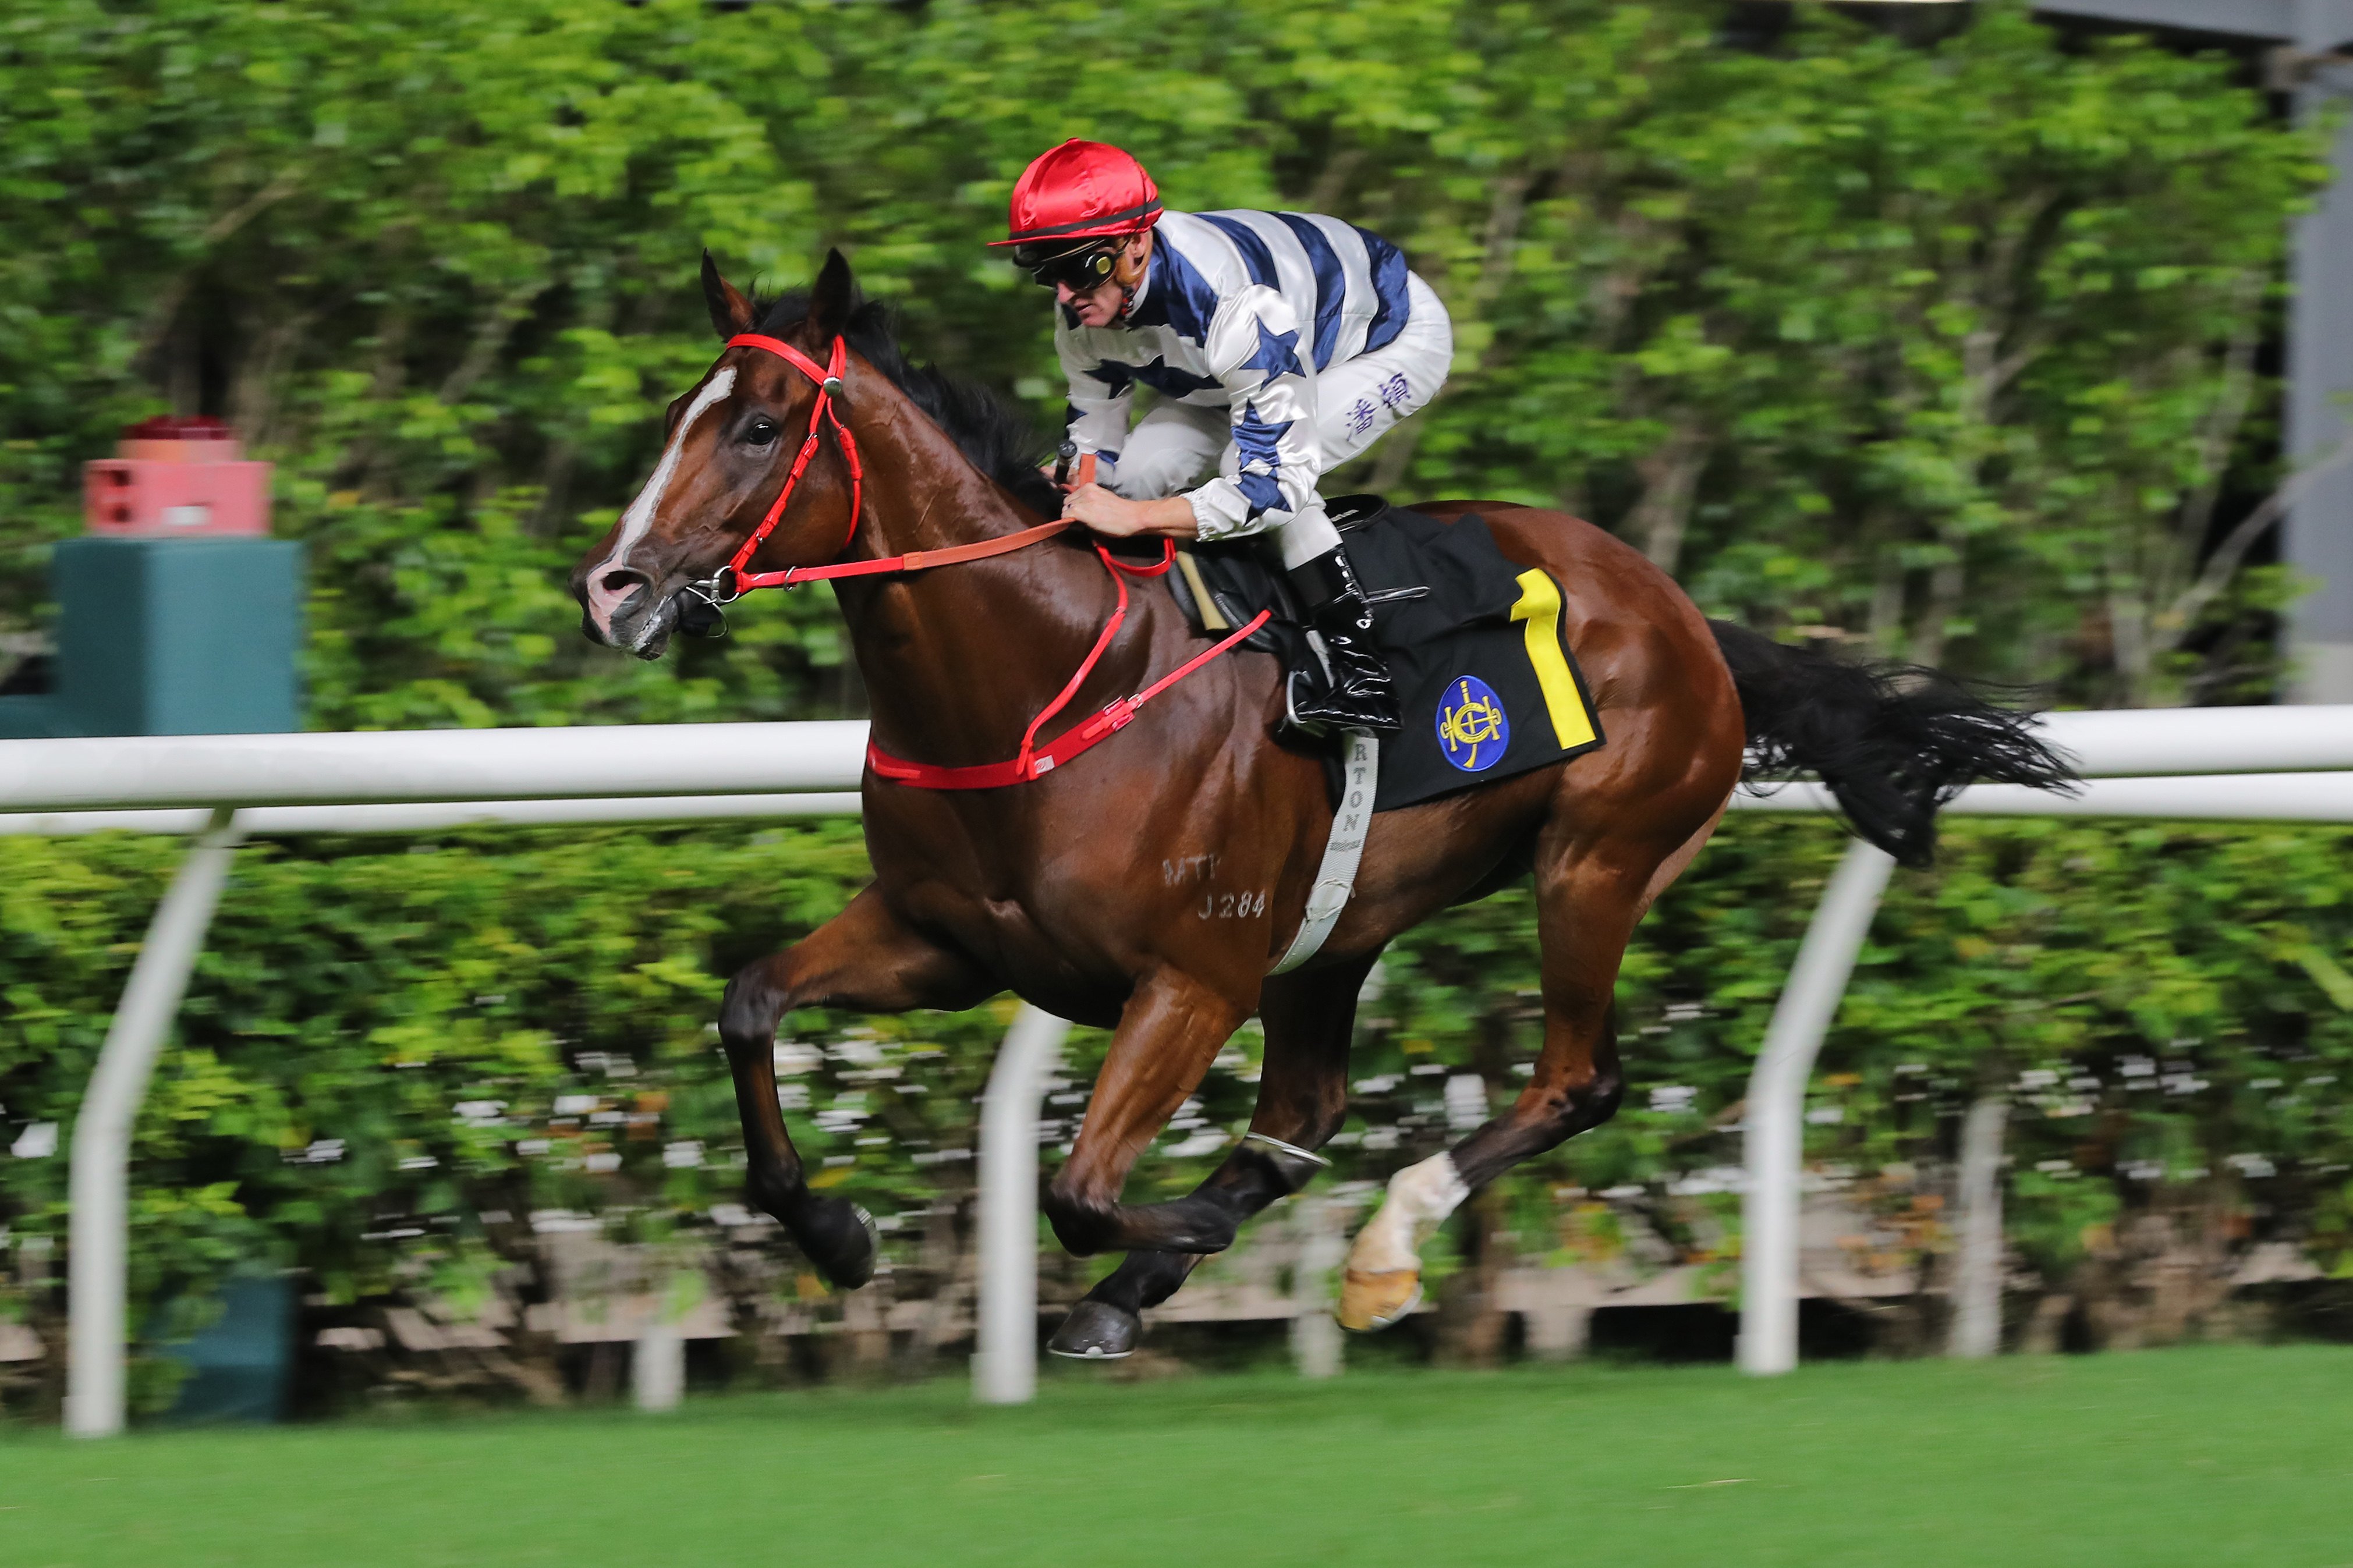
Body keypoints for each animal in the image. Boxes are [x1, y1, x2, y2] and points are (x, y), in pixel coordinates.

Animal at [565, 251, 2061, 1354]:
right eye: (679, 419)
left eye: (761, 428)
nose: (612, 588)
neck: (1041, 678)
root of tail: (1683, 612)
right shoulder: (947, 940)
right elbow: (751, 1002)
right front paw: (836, 1233)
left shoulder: (1192, 975)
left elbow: (1080, 1190)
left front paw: (1179, 1237)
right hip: (1336, 929)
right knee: (1308, 1106)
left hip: (1594, 859)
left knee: (1572, 1076)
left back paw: (1378, 1250)